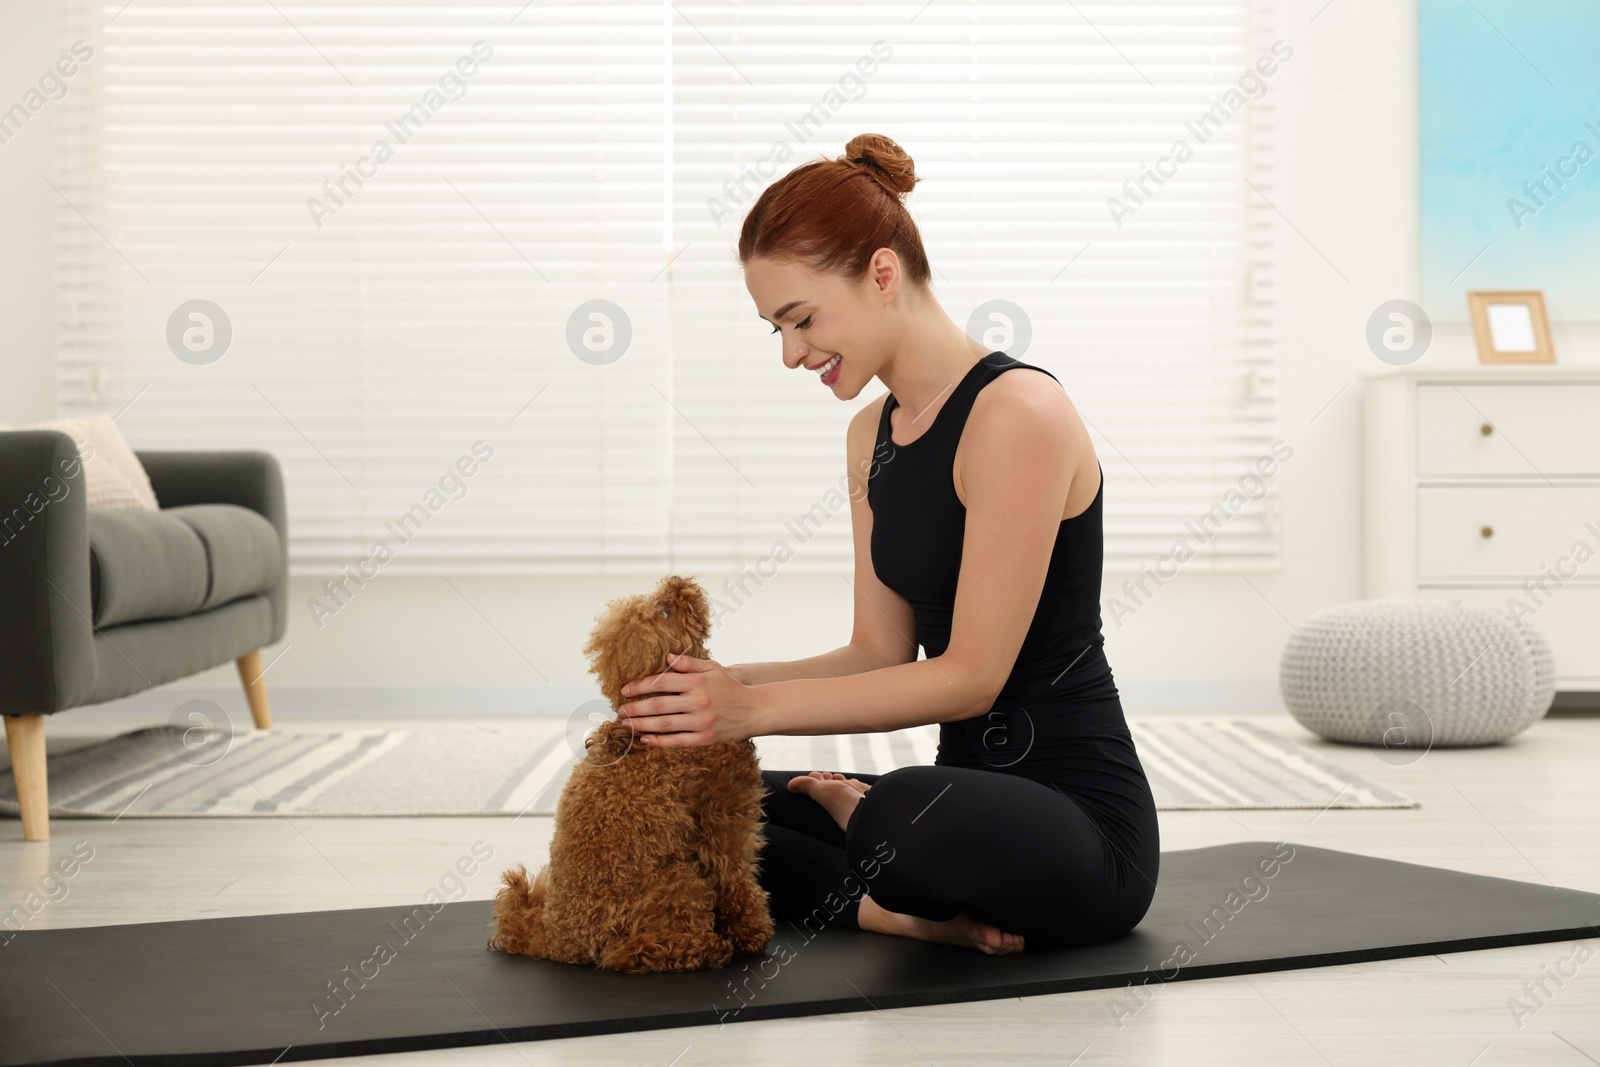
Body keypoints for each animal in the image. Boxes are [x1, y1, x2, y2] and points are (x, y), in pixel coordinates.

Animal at [486, 579, 774, 972]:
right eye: (665, 610)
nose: (677, 582)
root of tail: (556, 941)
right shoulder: (724, 820)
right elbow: (737, 880)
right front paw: (751, 932)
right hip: (677, 881)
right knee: (629, 953)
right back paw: (703, 949)